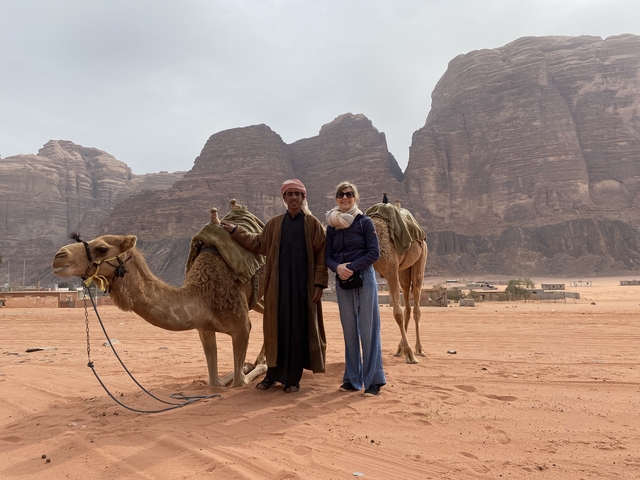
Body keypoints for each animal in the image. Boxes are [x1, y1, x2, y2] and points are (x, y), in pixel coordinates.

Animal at [51, 208, 267, 388]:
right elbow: (215, 381)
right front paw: (249, 365)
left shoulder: (242, 327)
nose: (59, 256)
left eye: (102, 249)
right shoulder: (204, 329)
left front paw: (258, 365)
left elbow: (240, 380)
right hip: (256, 298)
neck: (202, 295)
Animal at [368, 201, 428, 364]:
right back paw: (400, 349)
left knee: (416, 307)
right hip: (403, 271)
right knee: (407, 303)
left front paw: (411, 355)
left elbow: (397, 313)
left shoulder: (390, 270)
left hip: (420, 260)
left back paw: (419, 349)